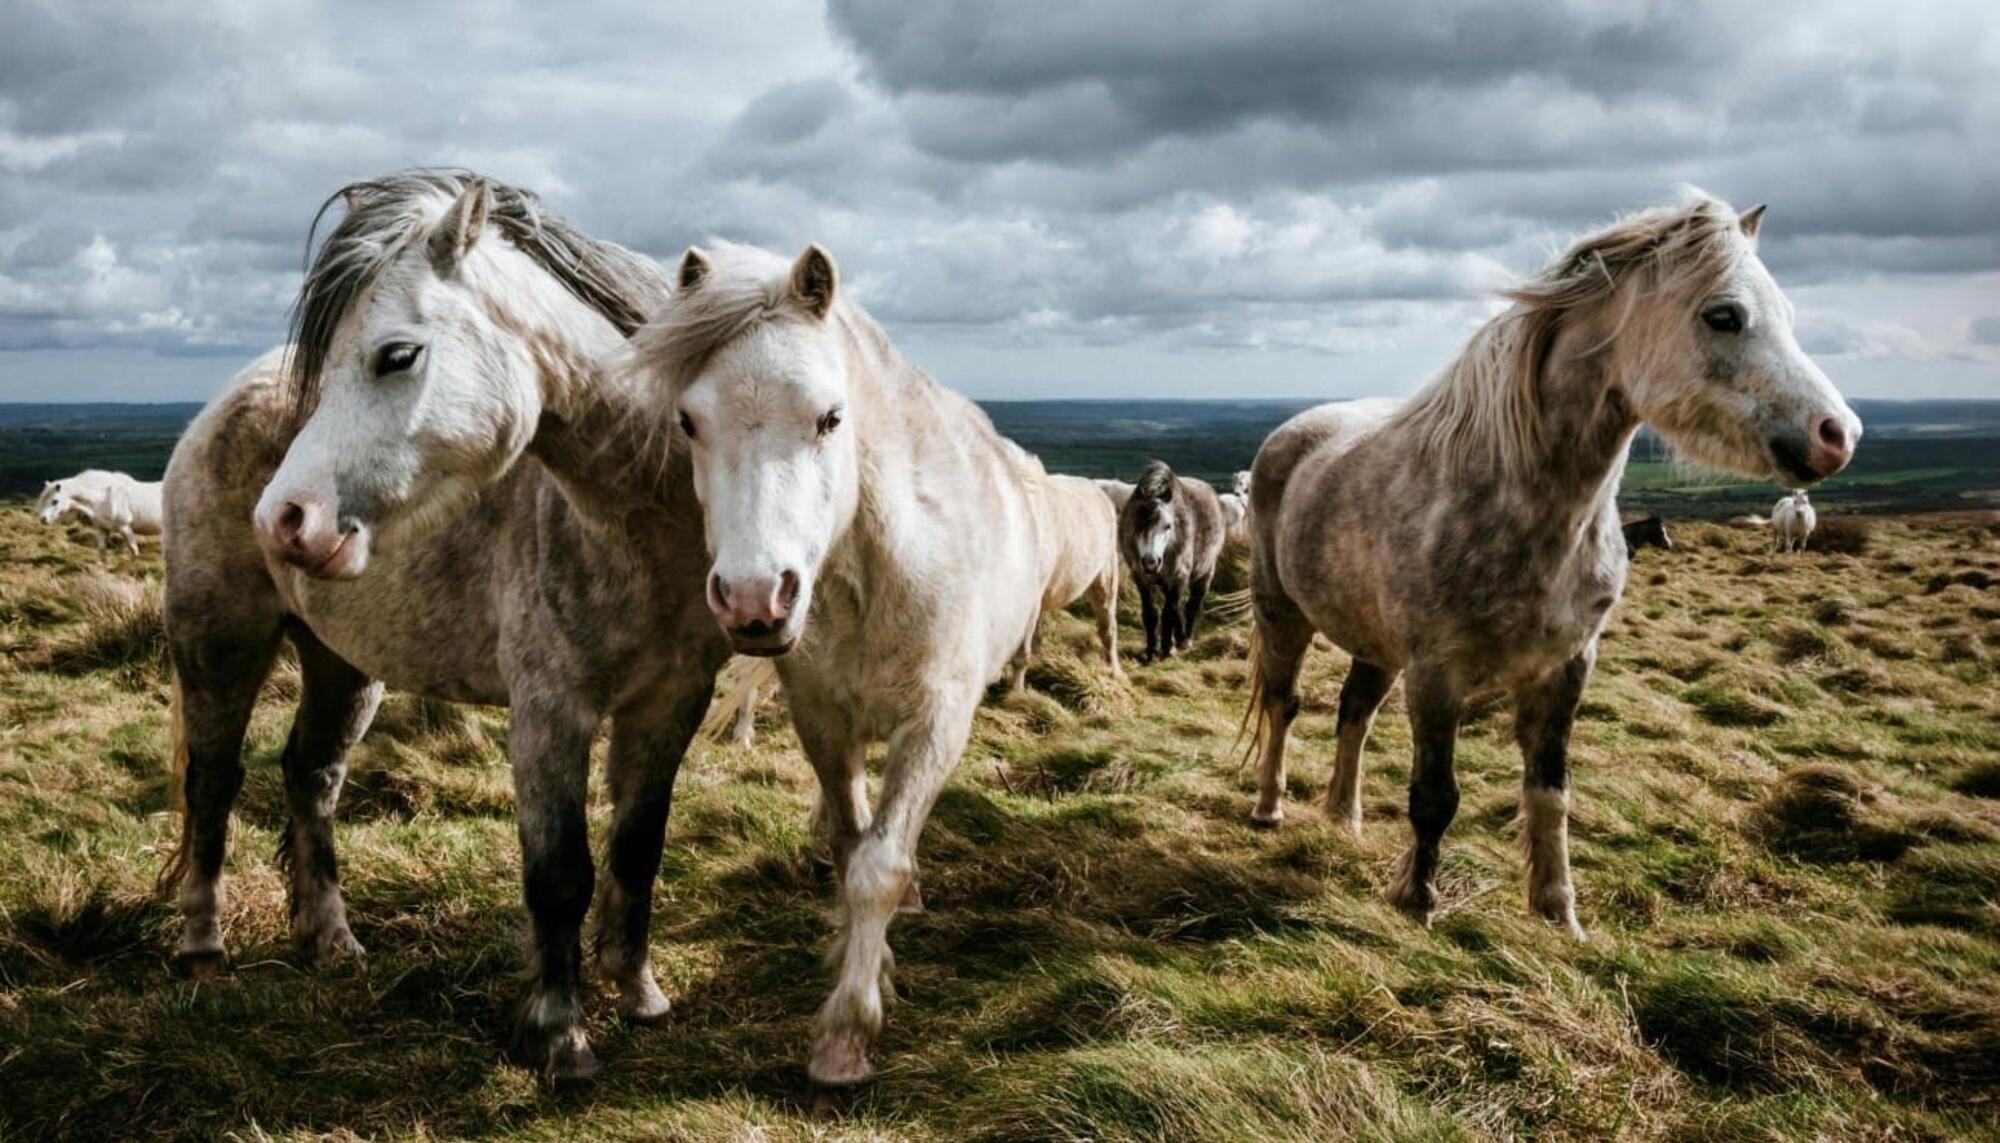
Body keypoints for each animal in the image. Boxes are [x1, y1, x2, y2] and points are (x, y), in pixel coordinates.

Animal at [35, 470, 164, 557]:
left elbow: (133, 550)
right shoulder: (103, 528)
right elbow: (101, 551)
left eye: (55, 501)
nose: (43, 519)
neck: (101, 498)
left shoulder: (125, 527)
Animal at [156, 173, 728, 1079]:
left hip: (343, 665)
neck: (644, 521)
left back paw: (331, 938)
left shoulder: (674, 700)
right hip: (222, 641)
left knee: (311, 775)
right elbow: (559, 871)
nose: (285, 519)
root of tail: (216, 409)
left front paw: (639, 993)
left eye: (397, 355)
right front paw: (559, 1034)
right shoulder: (549, 709)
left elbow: (638, 847)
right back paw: (204, 946)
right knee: (213, 780)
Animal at [625, 240, 1048, 1088]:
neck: (874, 575)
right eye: (689, 420)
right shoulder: (822, 719)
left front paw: (848, 1033)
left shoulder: (936, 722)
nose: (754, 597)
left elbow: (879, 865)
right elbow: (857, 847)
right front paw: (856, 977)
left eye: (830, 416)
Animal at [1117, 460, 1227, 663]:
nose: (1151, 562)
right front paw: (1152, 651)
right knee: (1178, 608)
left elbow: (1169, 612)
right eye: (1136, 524)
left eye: (1167, 526)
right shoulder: (1141, 578)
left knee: (1192, 605)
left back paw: (1185, 640)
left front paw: (1167, 649)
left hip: (1205, 573)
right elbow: (1151, 613)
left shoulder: (1179, 575)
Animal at [1243, 195, 1859, 938]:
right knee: (1283, 704)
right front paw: (1419, 899)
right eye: (1724, 316)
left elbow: (1550, 791)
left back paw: (1343, 819)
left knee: (1353, 713)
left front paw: (1558, 913)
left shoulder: (1566, 668)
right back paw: (1270, 807)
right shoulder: (1436, 674)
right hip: (1283, 614)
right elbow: (1434, 795)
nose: (1839, 435)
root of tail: (1294, 434)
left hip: (1375, 643)